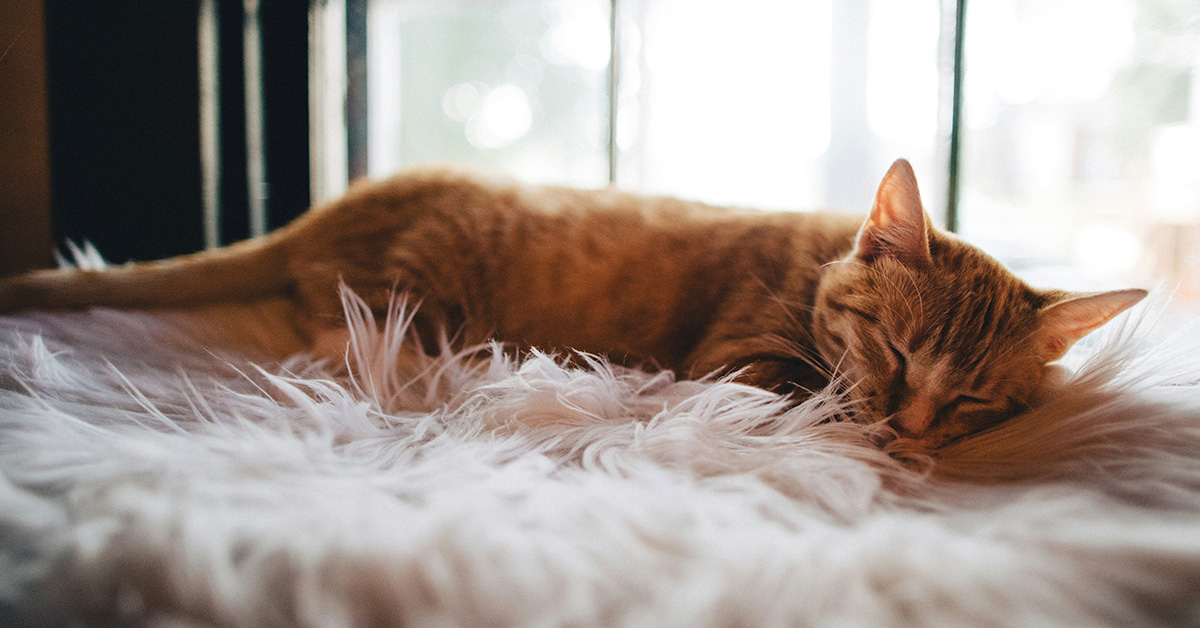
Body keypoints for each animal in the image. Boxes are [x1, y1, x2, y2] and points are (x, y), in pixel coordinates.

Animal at [0, 159, 1142, 449]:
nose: (906, 433)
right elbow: (801, 392)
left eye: (972, 401)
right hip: (424, 288)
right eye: (897, 353)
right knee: (349, 328)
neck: (815, 251)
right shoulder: (735, 355)